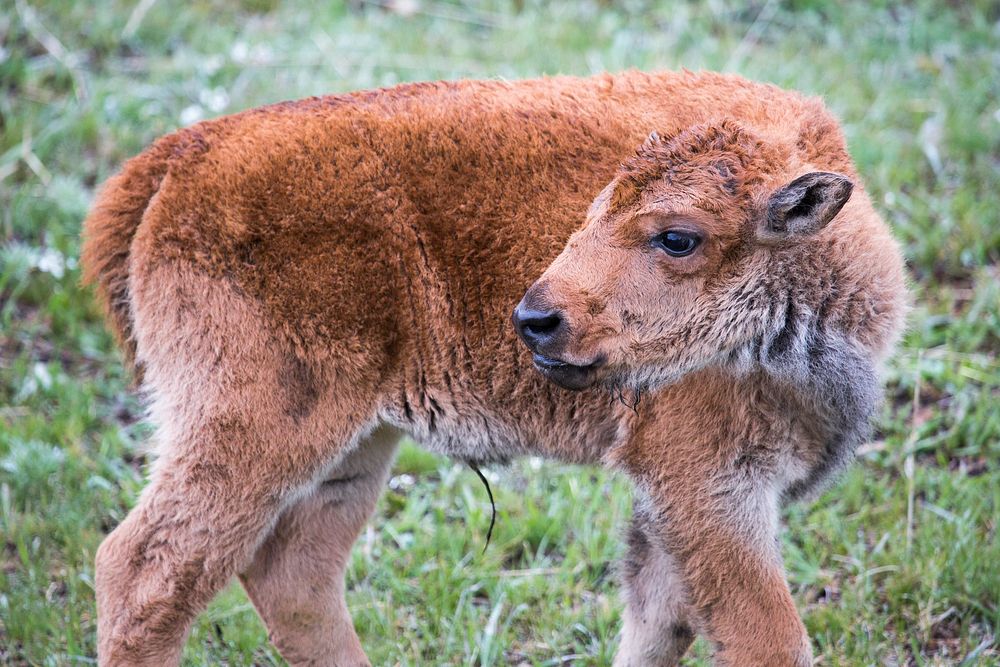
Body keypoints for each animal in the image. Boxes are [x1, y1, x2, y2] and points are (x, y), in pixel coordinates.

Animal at [80, 69, 908, 667]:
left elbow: (658, 622)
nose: (536, 318)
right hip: (253, 426)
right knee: (147, 571)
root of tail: (182, 156)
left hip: (355, 442)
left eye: (678, 237)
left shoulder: (669, 501)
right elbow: (767, 636)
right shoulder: (709, 485)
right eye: (592, 212)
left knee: (295, 576)